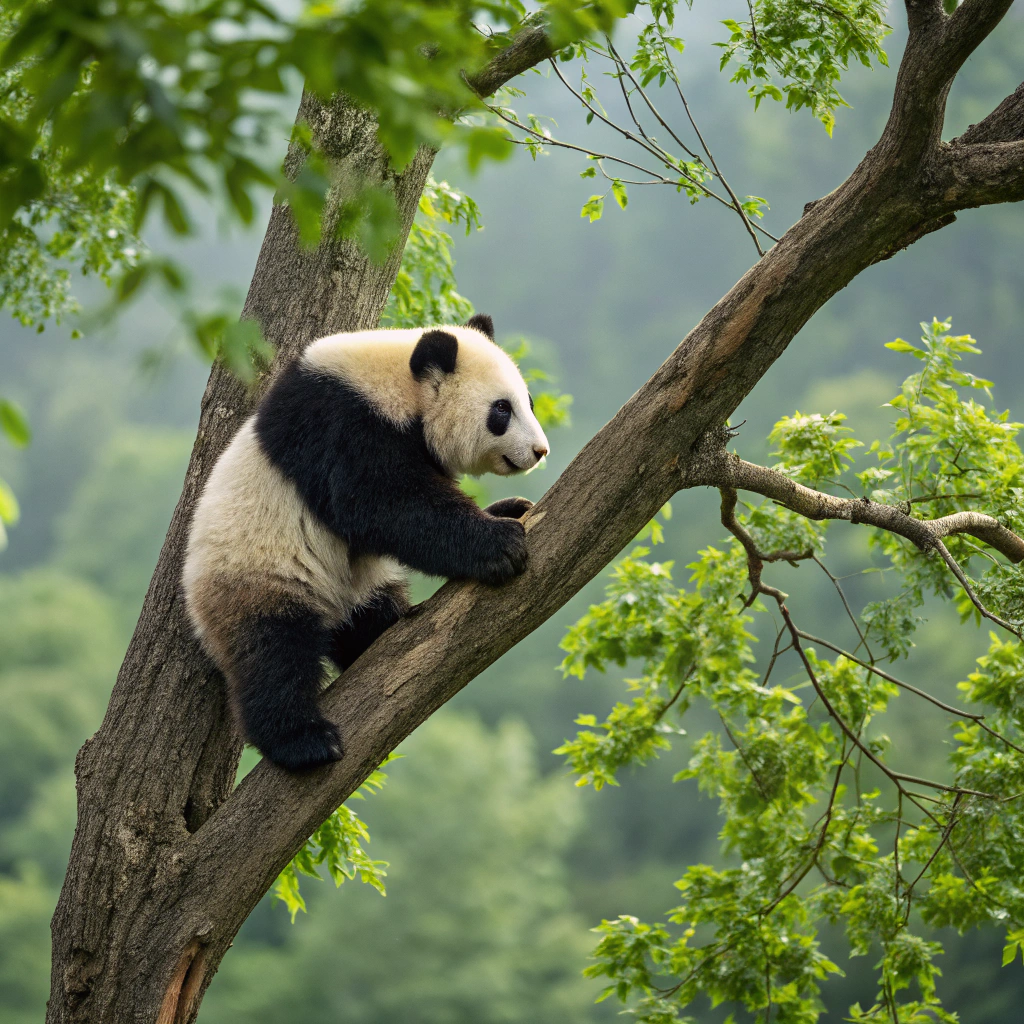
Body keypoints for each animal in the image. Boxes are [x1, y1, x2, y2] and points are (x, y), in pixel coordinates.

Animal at [183, 314, 549, 772]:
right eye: (502, 409)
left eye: (528, 402)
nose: (540, 450)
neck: (396, 381)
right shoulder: (341, 424)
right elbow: (381, 502)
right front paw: (499, 544)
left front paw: (510, 510)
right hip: (254, 573)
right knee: (272, 654)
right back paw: (304, 741)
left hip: (357, 584)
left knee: (365, 615)